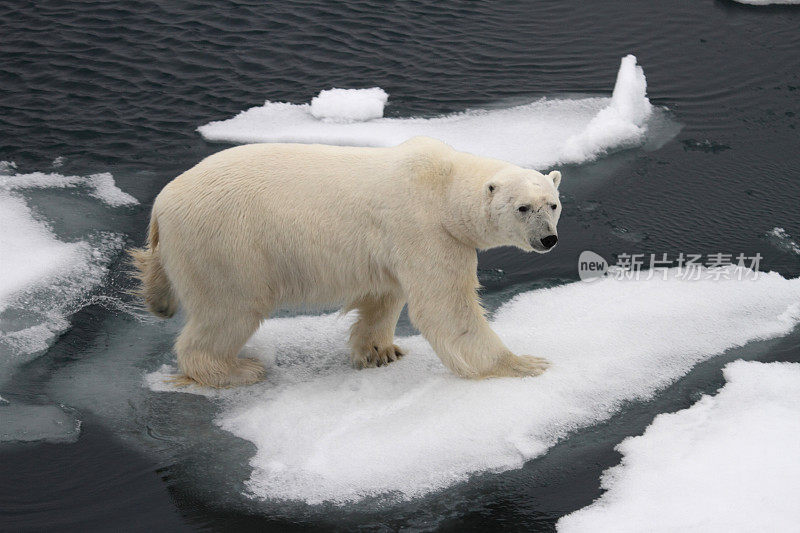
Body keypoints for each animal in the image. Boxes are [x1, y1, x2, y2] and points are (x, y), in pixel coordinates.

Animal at [131, 137, 564, 386]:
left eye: (553, 204)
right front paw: (524, 364)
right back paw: (236, 370)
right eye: (523, 207)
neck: (441, 186)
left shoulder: (393, 244)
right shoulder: (424, 228)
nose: (548, 239)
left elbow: (385, 294)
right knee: (230, 309)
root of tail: (160, 206)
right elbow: (447, 308)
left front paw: (380, 352)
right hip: (225, 244)